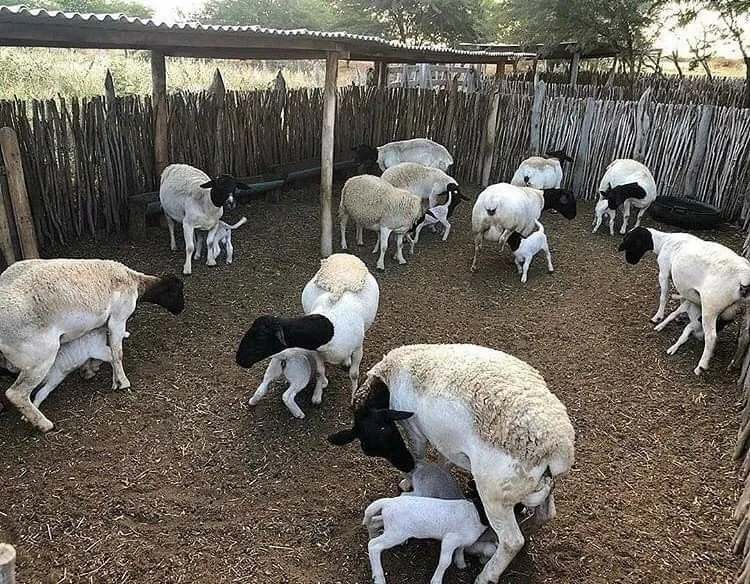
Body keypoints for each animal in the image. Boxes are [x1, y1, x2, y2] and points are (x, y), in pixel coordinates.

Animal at [0, 259, 184, 432]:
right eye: (176, 291)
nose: (181, 309)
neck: (134, 281)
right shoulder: (118, 318)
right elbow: (117, 353)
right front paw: (122, 382)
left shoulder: (103, 323)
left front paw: (91, 370)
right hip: (39, 355)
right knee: (16, 393)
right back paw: (44, 424)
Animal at [236, 253, 379, 394]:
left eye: (260, 338)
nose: (239, 360)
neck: (331, 327)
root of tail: (345, 255)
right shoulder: (316, 351)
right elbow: (319, 372)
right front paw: (319, 392)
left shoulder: (358, 349)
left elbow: (354, 374)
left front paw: (354, 394)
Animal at [328, 343, 574, 584]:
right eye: (373, 445)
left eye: (378, 441)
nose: (405, 465)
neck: (389, 376)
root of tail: (556, 448)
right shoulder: (447, 441)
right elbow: (445, 460)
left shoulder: (414, 430)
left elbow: (419, 453)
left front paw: (410, 480)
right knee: (545, 515)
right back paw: (526, 530)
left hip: (495, 494)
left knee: (512, 541)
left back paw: (487, 575)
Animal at [618, 227, 750, 375]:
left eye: (633, 242)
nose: (630, 261)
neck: (663, 241)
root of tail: (744, 276)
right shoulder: (686, 288)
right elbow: (683, 302)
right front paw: (678, 317)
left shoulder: (664, 272)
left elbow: (663, 296)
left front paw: (658, 317)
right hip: (745, 309)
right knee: (744, 337)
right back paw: (734, 364)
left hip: (711, 306)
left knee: (712, 337)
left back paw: (701, 366)